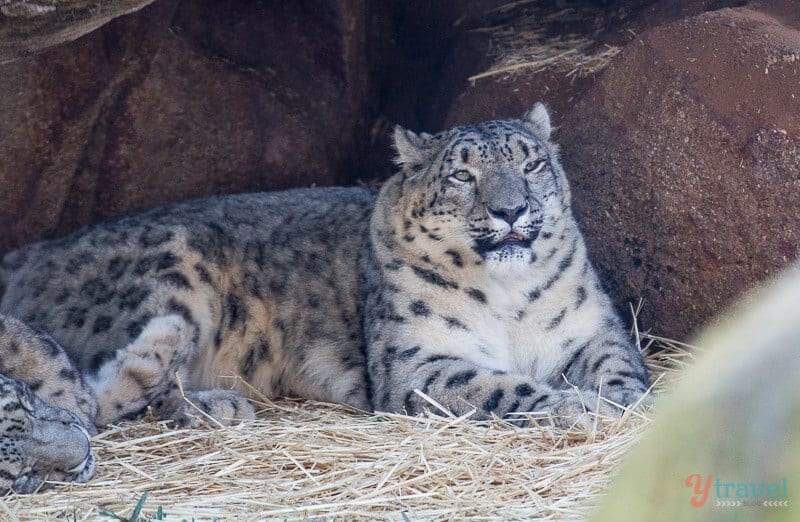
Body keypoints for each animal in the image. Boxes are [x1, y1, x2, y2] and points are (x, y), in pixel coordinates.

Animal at [0, 102, 648, 492]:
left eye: (532, 164)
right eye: (462, 175)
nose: (511, 210)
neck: (509, 299)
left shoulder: (591, 330)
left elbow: (620, 366)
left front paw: (624, 404)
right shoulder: (418, 364)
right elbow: (497, 387)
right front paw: (579, 409)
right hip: (172, 282)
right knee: (101, 396)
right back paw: (215, 405)